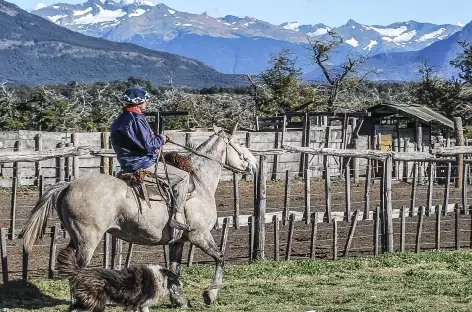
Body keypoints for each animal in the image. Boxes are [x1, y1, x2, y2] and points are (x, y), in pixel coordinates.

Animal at [22, 125, 258, 308]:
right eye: (239, 142)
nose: (254, 164)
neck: (198, 181)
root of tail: (68, 184)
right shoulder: (199, 235)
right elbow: (220, 257)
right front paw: (210, 294)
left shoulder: (178, 241)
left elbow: (175, 269)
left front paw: (179, 300)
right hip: (88, 240)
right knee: (77, 268)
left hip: (76, 237)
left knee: (69, 265)